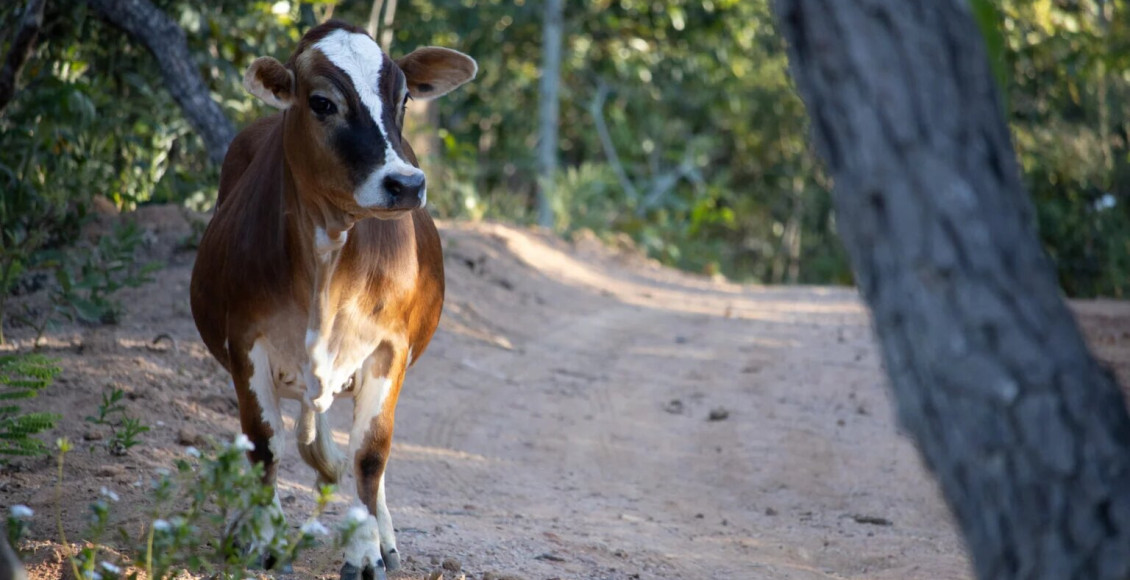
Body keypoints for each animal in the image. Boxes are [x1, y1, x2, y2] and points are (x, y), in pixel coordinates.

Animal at [192, 19, 474, 578]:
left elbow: (370, 453)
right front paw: (262, 534)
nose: (405, 183)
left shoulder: (390, 348)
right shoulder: (245, 341)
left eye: (404, 99)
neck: (327, 259)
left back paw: (384, 535)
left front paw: (365, 550)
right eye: (322, 102)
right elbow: (264, 444)